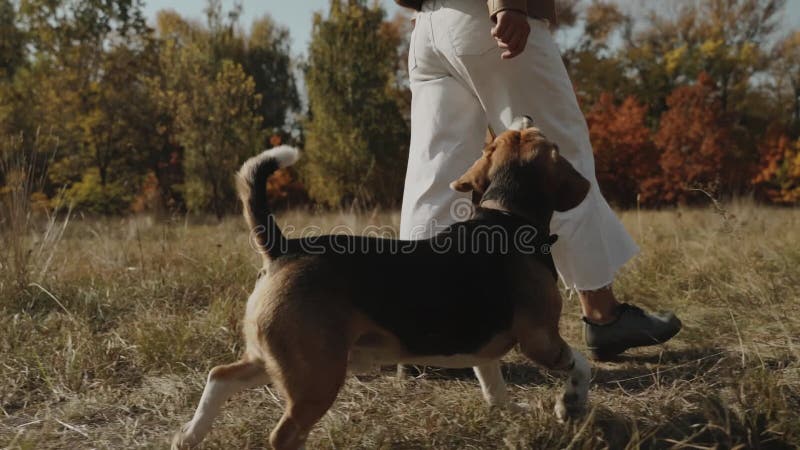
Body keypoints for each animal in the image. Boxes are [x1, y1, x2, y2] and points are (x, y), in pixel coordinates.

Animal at [170, 118, 592, 448]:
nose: (525, 116)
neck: (508, 214)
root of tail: (285, 249)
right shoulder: (542, 339)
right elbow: (581, 364)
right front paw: (569, 405)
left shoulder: (484, 350)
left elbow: (494, 387)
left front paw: (512, 410)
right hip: (317, 377)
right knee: (283, 434)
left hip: (279, 360)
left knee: (220, 377)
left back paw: (188, 436)